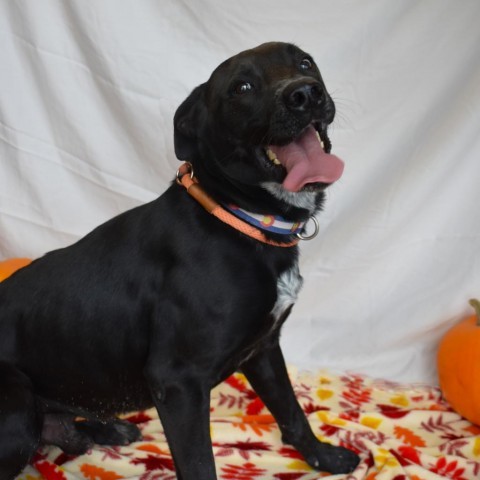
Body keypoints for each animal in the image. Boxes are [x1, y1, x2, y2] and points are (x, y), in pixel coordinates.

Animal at [0, 43, 360, 478]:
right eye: (241, 87)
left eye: (305, 61)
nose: (305, 93)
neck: (238, 217)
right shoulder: (178, 382)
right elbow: (199, 463)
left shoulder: (263, 349)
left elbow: (291, 412)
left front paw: (323, 456)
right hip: (16, 406)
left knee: (63, 431)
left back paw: (107, 429)